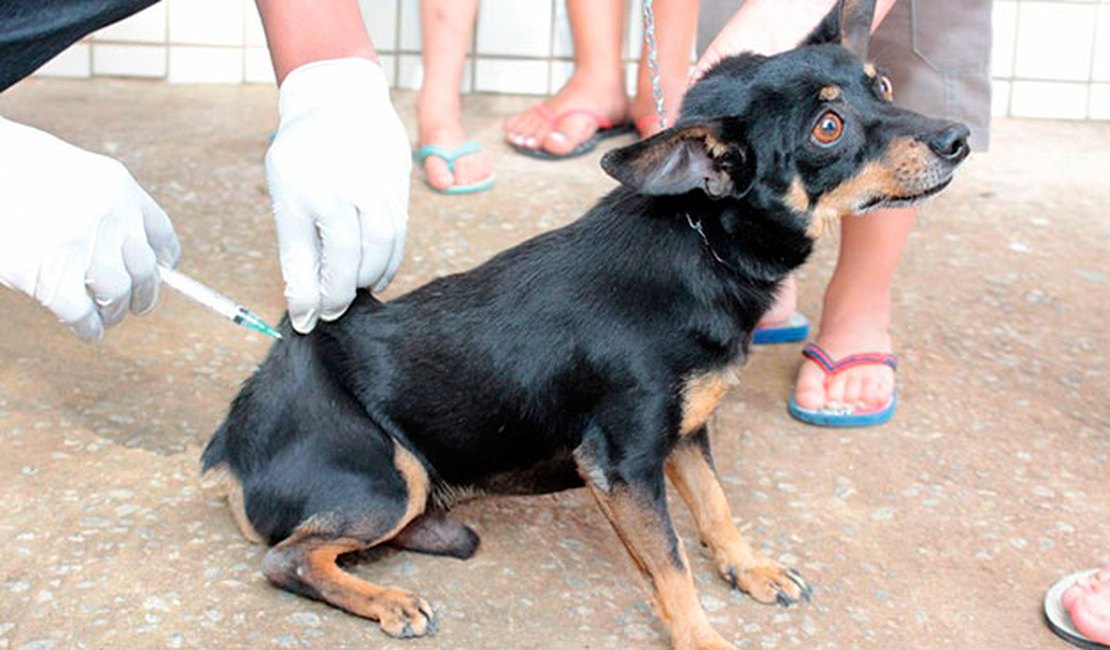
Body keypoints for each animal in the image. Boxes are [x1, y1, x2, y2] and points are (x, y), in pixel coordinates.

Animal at [204, 2, 967, 643]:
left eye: (884, 86)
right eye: (827, 128)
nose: (958, 137)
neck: (702, 242)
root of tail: (231, 441)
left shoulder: (684, 436)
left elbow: (716, 508)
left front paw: (750, 568)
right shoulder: (622, 465)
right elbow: (671, 567)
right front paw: (704, 637)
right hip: (390, 478)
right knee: (288, 557)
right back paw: (387, 598)